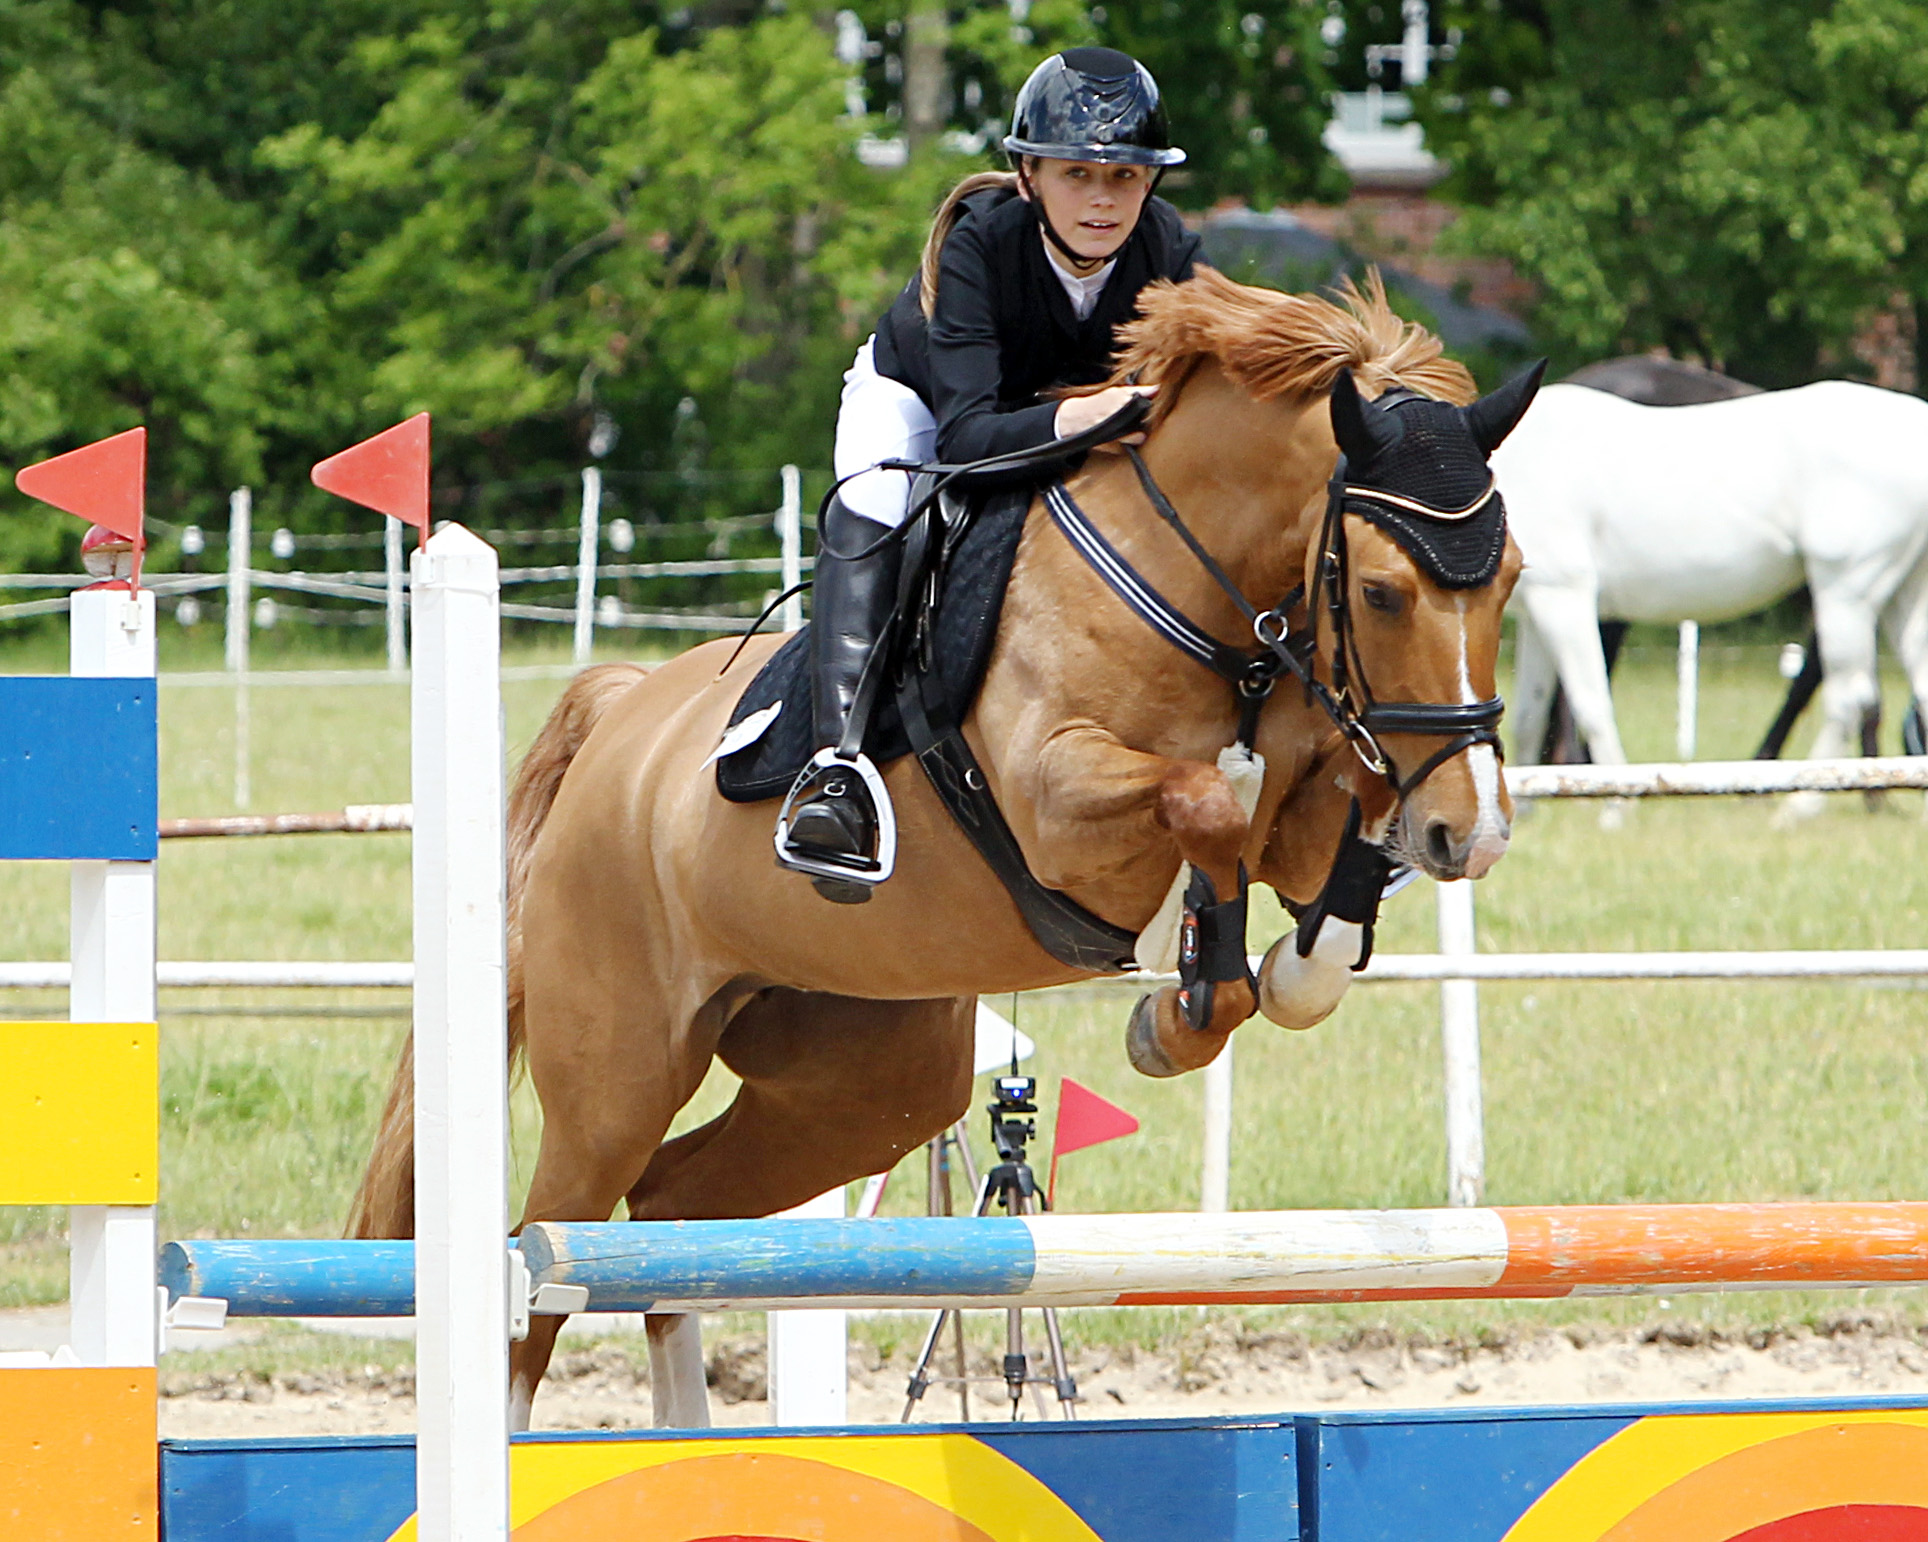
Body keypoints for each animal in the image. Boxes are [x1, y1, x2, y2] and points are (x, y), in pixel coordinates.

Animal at [346, 269, 1534, 1428]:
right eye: (1380, 591)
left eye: (1512, 578)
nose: (1471, 833)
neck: (1206, 599)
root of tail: (622, 718)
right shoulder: (1061, 808)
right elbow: (1207, 805)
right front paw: (1182, 1001)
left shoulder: (1315, 796)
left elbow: (1334, 845)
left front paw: (1274, 969)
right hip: (617, 1074)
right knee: (546, 1264)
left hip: (864, 1083)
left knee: (674, 1214)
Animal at [1495, 381, 1928, 771]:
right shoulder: (1539, 614)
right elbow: (1528, 719)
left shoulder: (1564, 597)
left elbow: (1592, 708)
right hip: (1899, 595)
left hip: (1848, 592)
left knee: (1849, 699)